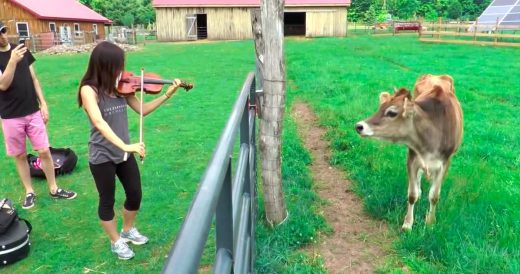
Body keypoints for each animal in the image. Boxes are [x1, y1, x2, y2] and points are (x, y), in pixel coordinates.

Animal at [356, 74, 462, 230]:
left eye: (392, 113)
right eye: (380, 107)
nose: (359, 126)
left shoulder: (445, 162)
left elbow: (434, 196)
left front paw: (430, 222)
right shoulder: (412, 157)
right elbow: (412, 195)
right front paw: (407, 224)